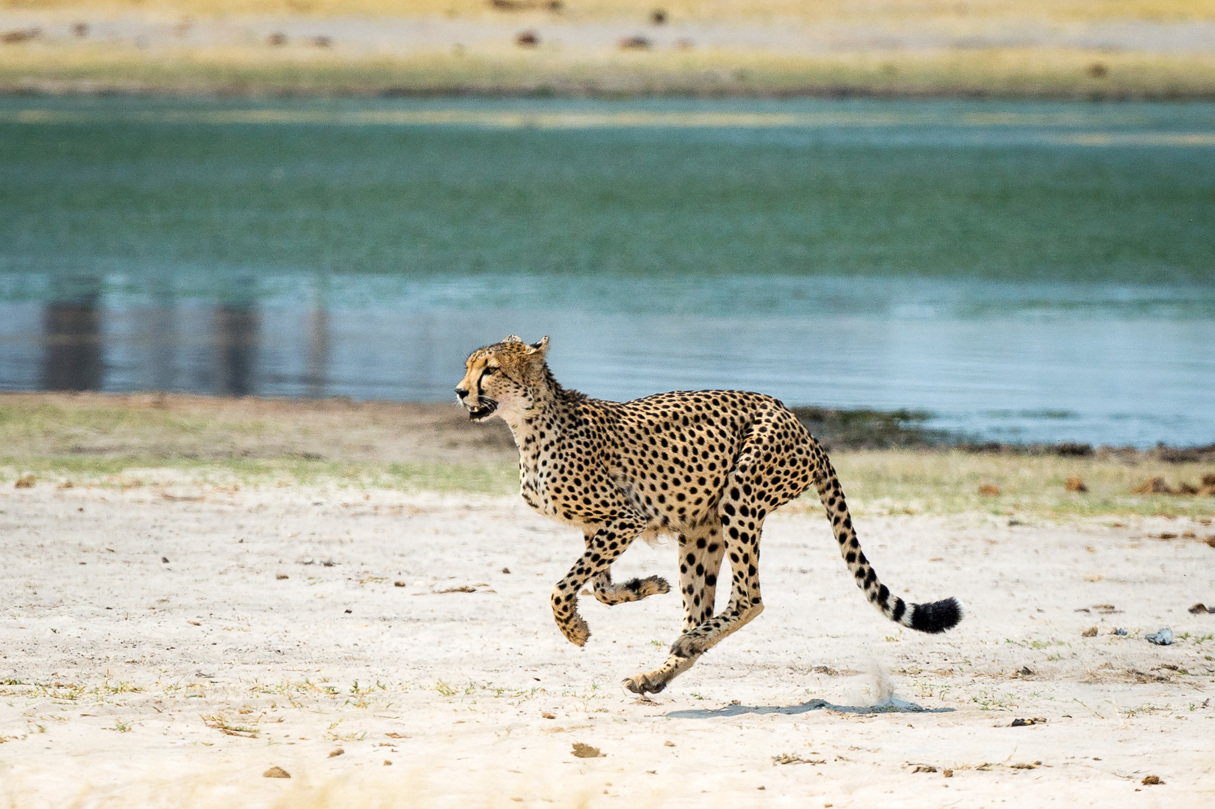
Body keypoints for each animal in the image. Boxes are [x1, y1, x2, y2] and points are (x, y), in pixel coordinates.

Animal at [456, 335, 963, 695]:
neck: (527, 425)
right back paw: (659, 671)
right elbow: (598, 587)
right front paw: (644, 586)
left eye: (490, 369)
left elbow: (562, 587)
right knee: (698, 610)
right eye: (468, 366)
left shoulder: (625, 518)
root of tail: (799, 421)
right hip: (701, 531)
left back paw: (689, 642)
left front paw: (573, 629)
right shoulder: (599, 525)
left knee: (750, 598)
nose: (460, 392)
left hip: (741, 497)